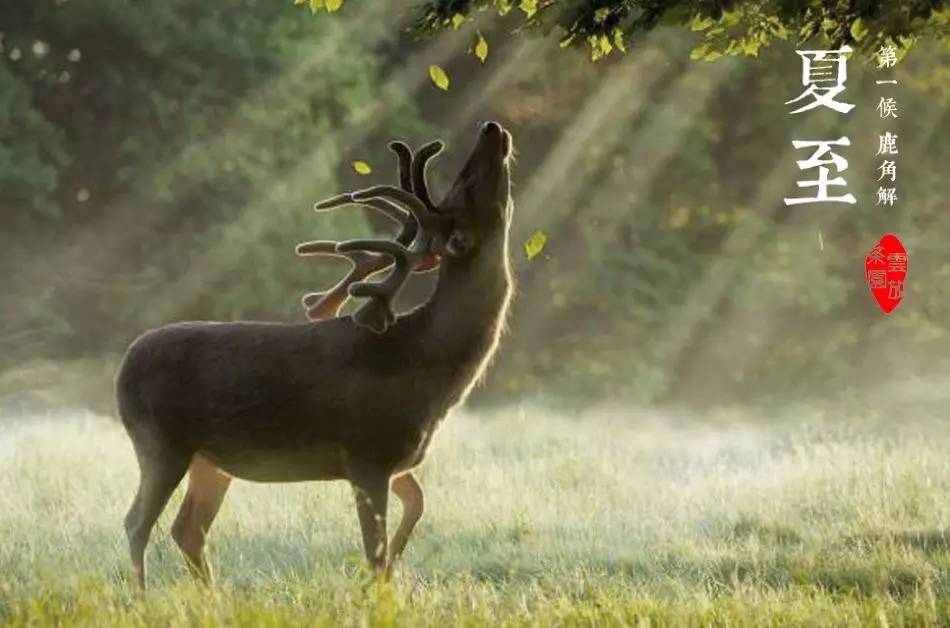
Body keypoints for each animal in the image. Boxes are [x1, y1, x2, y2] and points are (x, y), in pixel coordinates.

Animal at [115, 121, 516, 588]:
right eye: (466, 186)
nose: (491, 128)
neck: (428, 366)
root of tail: (123, 367)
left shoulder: (393, 459)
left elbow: (416, 505)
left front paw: (395, 570)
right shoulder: (366, 452)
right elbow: (374, 550)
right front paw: (378, 587)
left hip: (210, 459)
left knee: (188, 528)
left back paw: (211, 595)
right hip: (160, 441)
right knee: (137, 523)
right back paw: (143, 596)